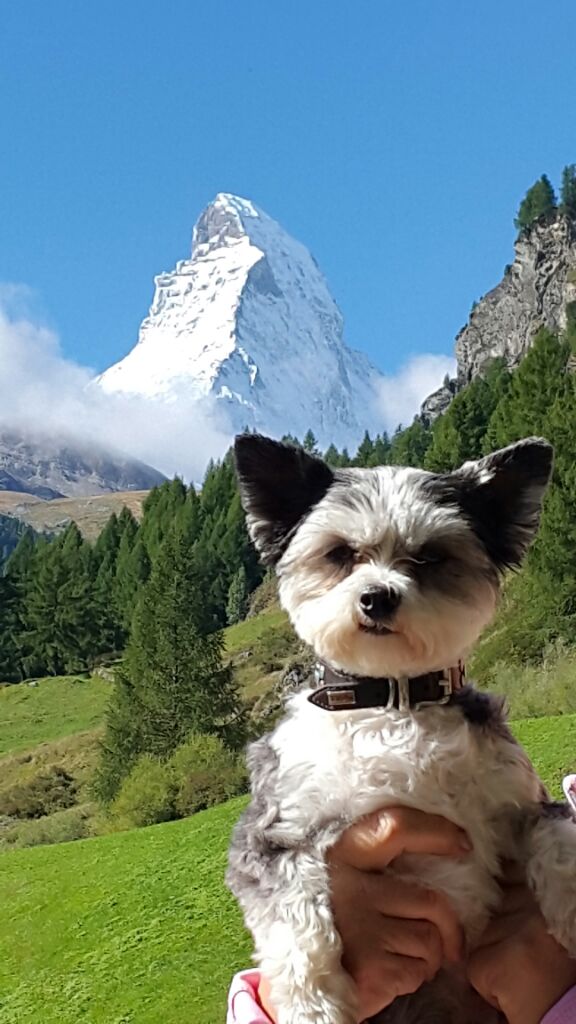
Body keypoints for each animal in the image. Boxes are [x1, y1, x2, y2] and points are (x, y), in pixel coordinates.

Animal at [227, 433, 576, 1024]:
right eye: (341, 554)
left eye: (431, 556)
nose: (377, 596)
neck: (393, 704)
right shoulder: (271, 834)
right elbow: (295, 924)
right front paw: (310, 1005)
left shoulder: (526, 800)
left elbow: (559, 839)